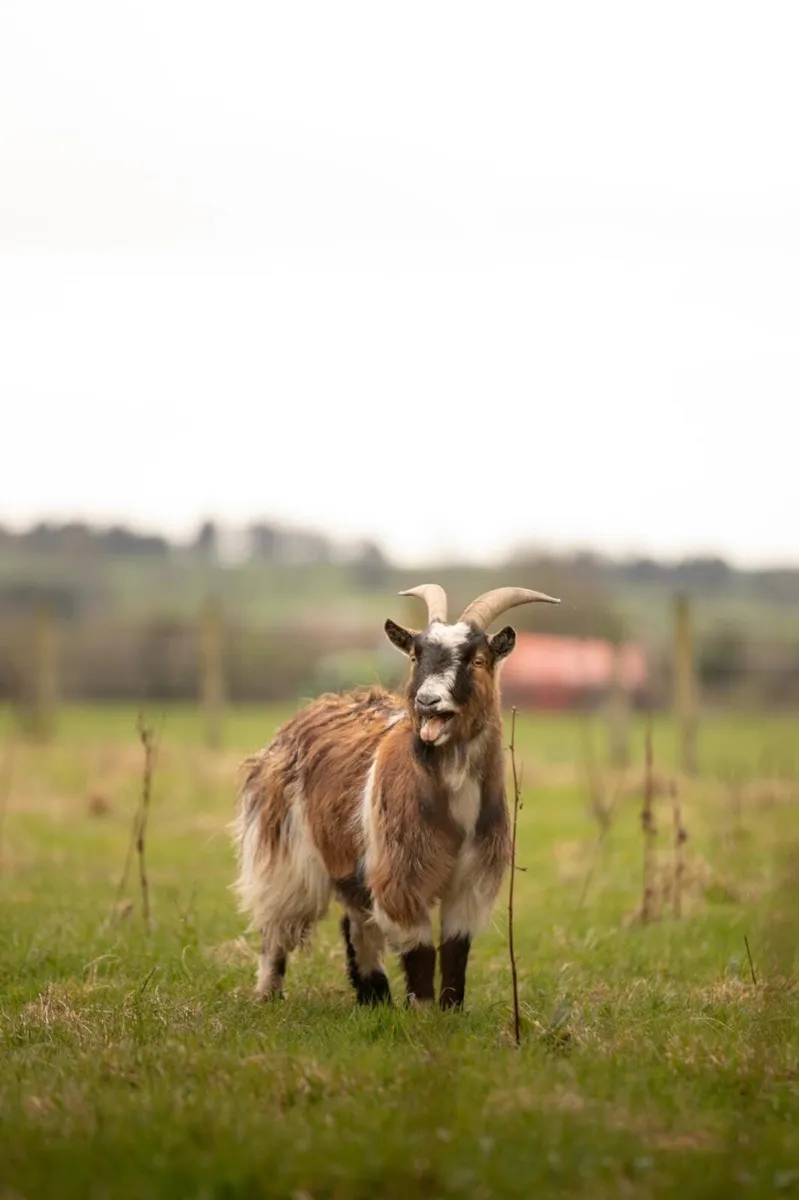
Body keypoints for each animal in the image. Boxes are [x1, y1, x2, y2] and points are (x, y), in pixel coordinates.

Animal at [231, 583, 559, 1009]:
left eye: (478, 660)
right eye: (417, 655)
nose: (427, 701)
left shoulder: (469, 881)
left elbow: (455, 949)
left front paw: (451, 1012)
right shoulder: (399, 874)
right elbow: (419, 949)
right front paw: (422, 1012)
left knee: (357, 921)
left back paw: (375, 997)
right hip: (286, 852)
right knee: (278, 926)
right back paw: (269, 994)